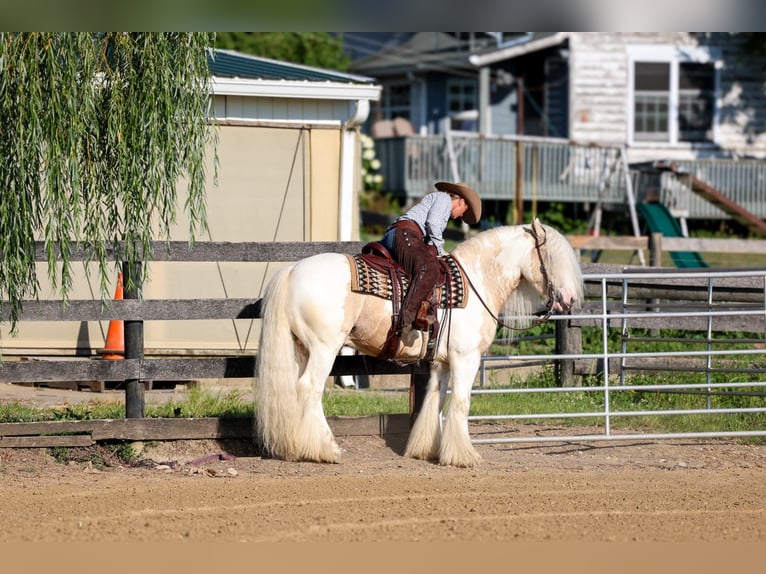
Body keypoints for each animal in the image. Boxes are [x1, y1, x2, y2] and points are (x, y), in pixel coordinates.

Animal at [254, 218, 584, 468]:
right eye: (552, 257)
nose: (569, 299)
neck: (475, 281)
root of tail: (292, 271)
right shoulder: (466, 358)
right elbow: (461, 402)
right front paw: (464, 456)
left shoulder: (441, 363)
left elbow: (433, 401)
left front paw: (427, 450)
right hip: (325, 348)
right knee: (310, 388)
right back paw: (325, 449)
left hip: (302, 348)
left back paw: (295, 446)